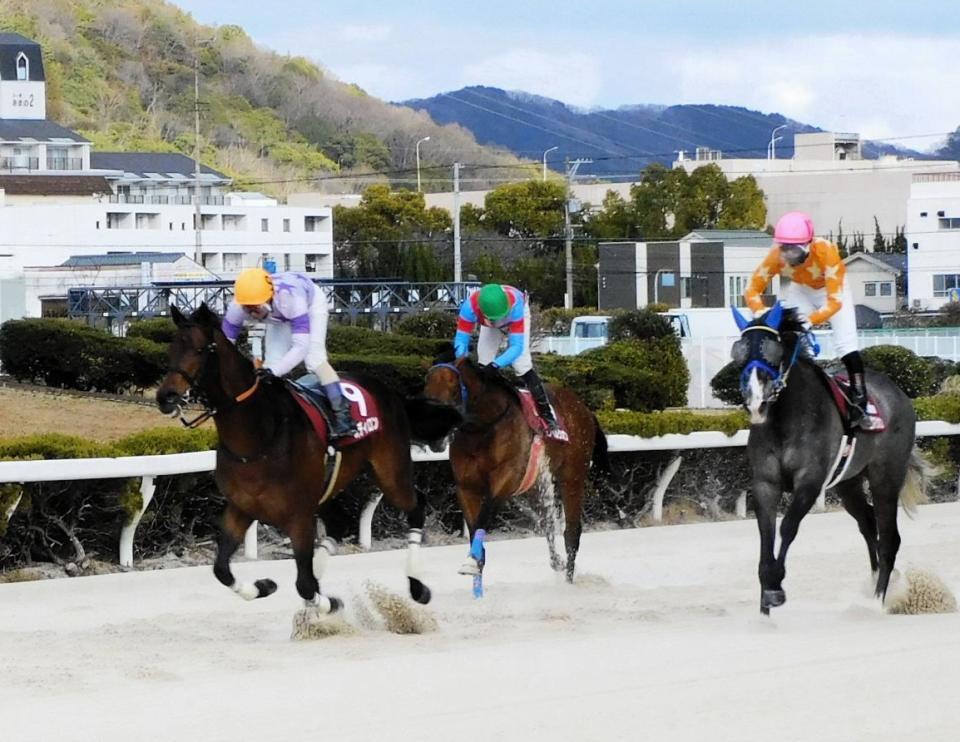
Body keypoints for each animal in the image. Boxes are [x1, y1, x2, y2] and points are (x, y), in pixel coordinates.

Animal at [158, 306, 442, 612]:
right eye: (171, 350)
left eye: (199, 350)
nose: (165, 397)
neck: (258, 436)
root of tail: (390, 391)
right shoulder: (241, 507)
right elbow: (221, 570)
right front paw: (264, 586)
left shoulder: (300, 515)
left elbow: (304, 584)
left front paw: (328, 603)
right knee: (338, 524)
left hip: (390, 471)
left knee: (415, 507)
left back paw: (417, 586)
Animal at [412, 354, 608, 600]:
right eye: (426, 391)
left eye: (454, 390)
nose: (435, 437)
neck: (482, 428)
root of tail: (585, 409)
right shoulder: (466, 487)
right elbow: (474, 528)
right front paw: (477, 587)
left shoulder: (505, 480)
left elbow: (484, 517)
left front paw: (471, 564)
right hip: (535, 485)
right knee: (548, 523)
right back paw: (557, 563)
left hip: (572, 477)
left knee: (571, 532)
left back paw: (567, 583)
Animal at [732, 302, 928, 616]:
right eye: (738, 352)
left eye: (770, 351)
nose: (756, 402)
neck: (787, 419)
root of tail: (898, 393)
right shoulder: (765, 483)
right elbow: (766, 536)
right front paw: (764, 611)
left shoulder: (810, 482)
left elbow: (787, 527)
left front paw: (775, 586)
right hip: (848, 483)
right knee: (868, 523)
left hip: (886, 476)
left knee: (889, 538)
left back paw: (876, 601)